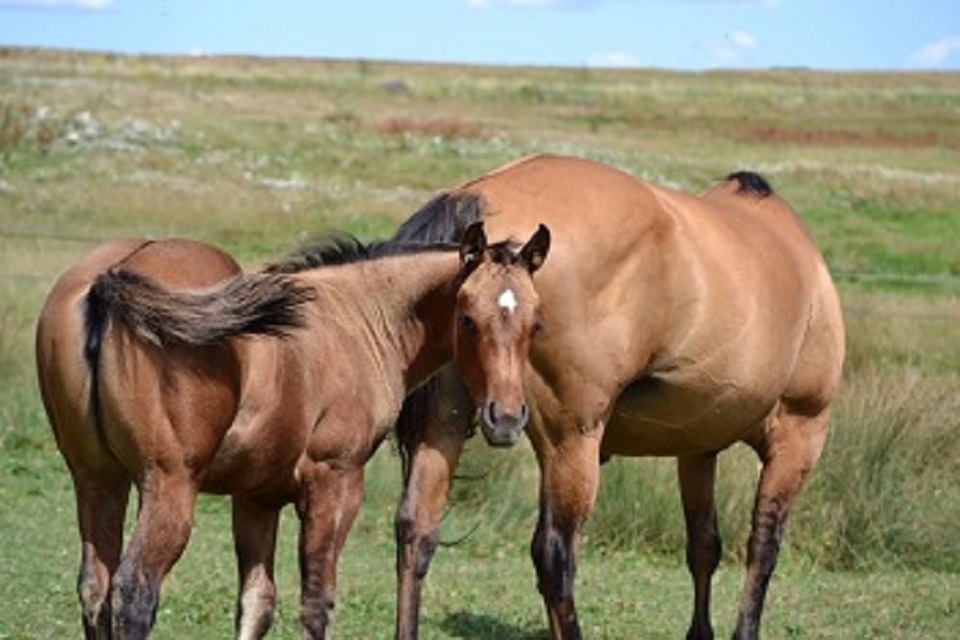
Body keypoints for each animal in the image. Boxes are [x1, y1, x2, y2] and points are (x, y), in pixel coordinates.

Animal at [37, 221, 552, 640]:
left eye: (536, 325)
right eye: (468, 319)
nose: (506, 420)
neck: (359, 318)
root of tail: (111, 277)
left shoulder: (256, 498)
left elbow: (256, 603)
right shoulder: (335, 481)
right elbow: (317, 602)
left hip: (97, 479)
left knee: (95, 588)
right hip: (168, 484)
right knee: (134, 593)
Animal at [394, 152, 844, 636]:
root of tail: (483, 196)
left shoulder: (697, 448)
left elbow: (704, 545)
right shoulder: (799, 435)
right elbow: (763, 547)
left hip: (445, 426)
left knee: (416, 529)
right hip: (570, 443)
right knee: (554, 556)